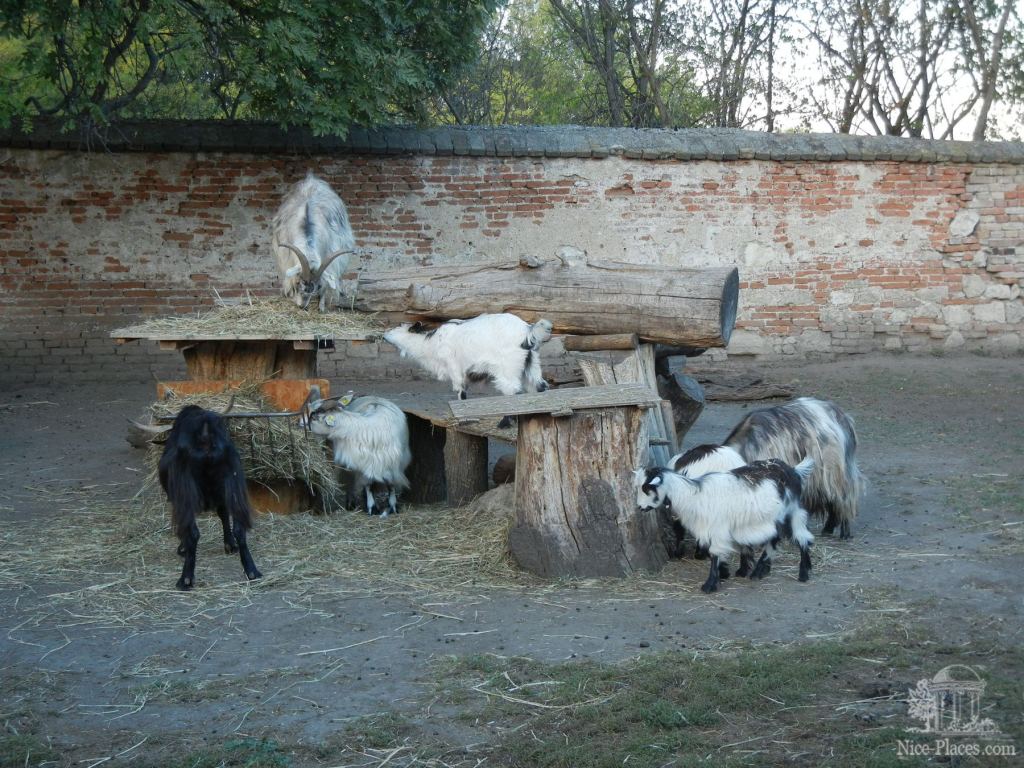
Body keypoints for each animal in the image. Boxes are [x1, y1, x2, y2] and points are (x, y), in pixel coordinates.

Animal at [155, 405, 262, 593]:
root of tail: (205, 433)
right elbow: (224, 514)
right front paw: (229, 544)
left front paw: (183, 548)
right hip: (234, 484)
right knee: (240, 528)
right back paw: (252, 571)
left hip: (186, 492)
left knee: (192, 533)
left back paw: (185, 579)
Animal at [272, 173, 356, 311]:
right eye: (298, 282)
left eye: (317, 286)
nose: (302, 306)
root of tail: (311, 180)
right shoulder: (286, 254)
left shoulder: (330, 254)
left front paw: (321, 307)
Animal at [303, 387, 411, 520]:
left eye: (313, 416)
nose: (299, 423)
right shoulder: (364, 466)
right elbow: (369, 485)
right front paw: (372, 508)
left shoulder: (395, 465)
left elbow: (391, 485)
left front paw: (393, 506)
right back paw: (351, 503)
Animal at [630, 460, 815, 593]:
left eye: (647, 487)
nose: (640, 507)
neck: (693, 497)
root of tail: (793, 470)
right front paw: (725, 573)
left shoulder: (717, 528)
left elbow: (714, 553)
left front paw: (710, 584)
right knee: (774, 538)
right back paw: (759, 571)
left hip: (792, 510)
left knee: (801, 537)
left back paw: (803, 573)